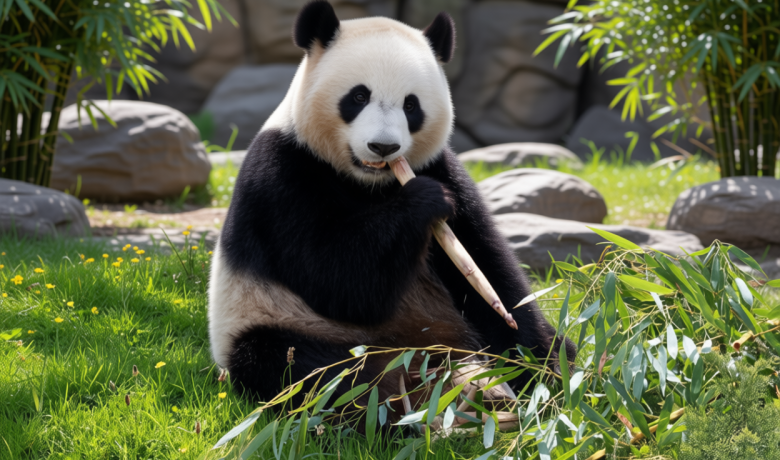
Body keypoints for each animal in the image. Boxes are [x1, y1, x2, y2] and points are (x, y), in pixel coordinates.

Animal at [208, 0, 576, 406]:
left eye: (411, 106)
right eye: (358, 97)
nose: (383, 147)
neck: (370, 183)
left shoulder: (442, 167)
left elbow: (487, 270)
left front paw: (537, 366)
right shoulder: (283, 174)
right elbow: (335, 277)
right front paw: (425, 200)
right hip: (280, 321)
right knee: (300, 368)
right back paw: (396, 403)